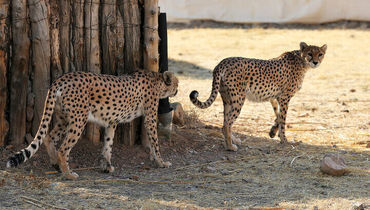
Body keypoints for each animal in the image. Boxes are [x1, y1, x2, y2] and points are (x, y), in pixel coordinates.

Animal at [6, 69, 178, 178]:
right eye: (176, 84)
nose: (177, 90)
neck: (157, 79)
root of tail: (61, 79)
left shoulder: (112, 121)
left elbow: (108, 143)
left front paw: (106, 166)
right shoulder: (150, 118)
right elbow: (155, 142)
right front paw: (161, 162)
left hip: (63, 118)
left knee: (49, 137)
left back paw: (56, 165)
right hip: (78, 120)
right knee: (63, 148)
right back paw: (68, 173)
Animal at [191, 42, 326, 151]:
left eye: (320, 54)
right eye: (309, 53)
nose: (315, 62)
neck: (301, 61)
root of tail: (222, 62)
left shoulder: (274, 97)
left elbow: (278, 115)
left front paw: (273, 132)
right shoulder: (284, 97)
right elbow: (282, 119)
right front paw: (284, 139)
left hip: (227, 99)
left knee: (224, 122)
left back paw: (234, 141)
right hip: (239, 98)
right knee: (227, 124)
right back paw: (230, 147)